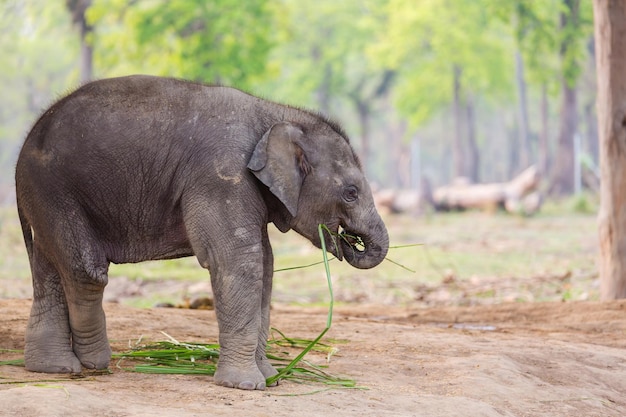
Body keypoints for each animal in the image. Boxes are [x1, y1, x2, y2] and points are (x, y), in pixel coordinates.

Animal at [14, 75, 388, 390]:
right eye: (351, 192)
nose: (351, 241)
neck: (276, 114)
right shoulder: (220, 174)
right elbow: (239, 262)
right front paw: (246, 386)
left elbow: (265, 265)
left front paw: (271, 378)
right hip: (54, 190)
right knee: (84, 270)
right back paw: (94, 362)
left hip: (46, 197)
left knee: (51, 268)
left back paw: (54, 368)